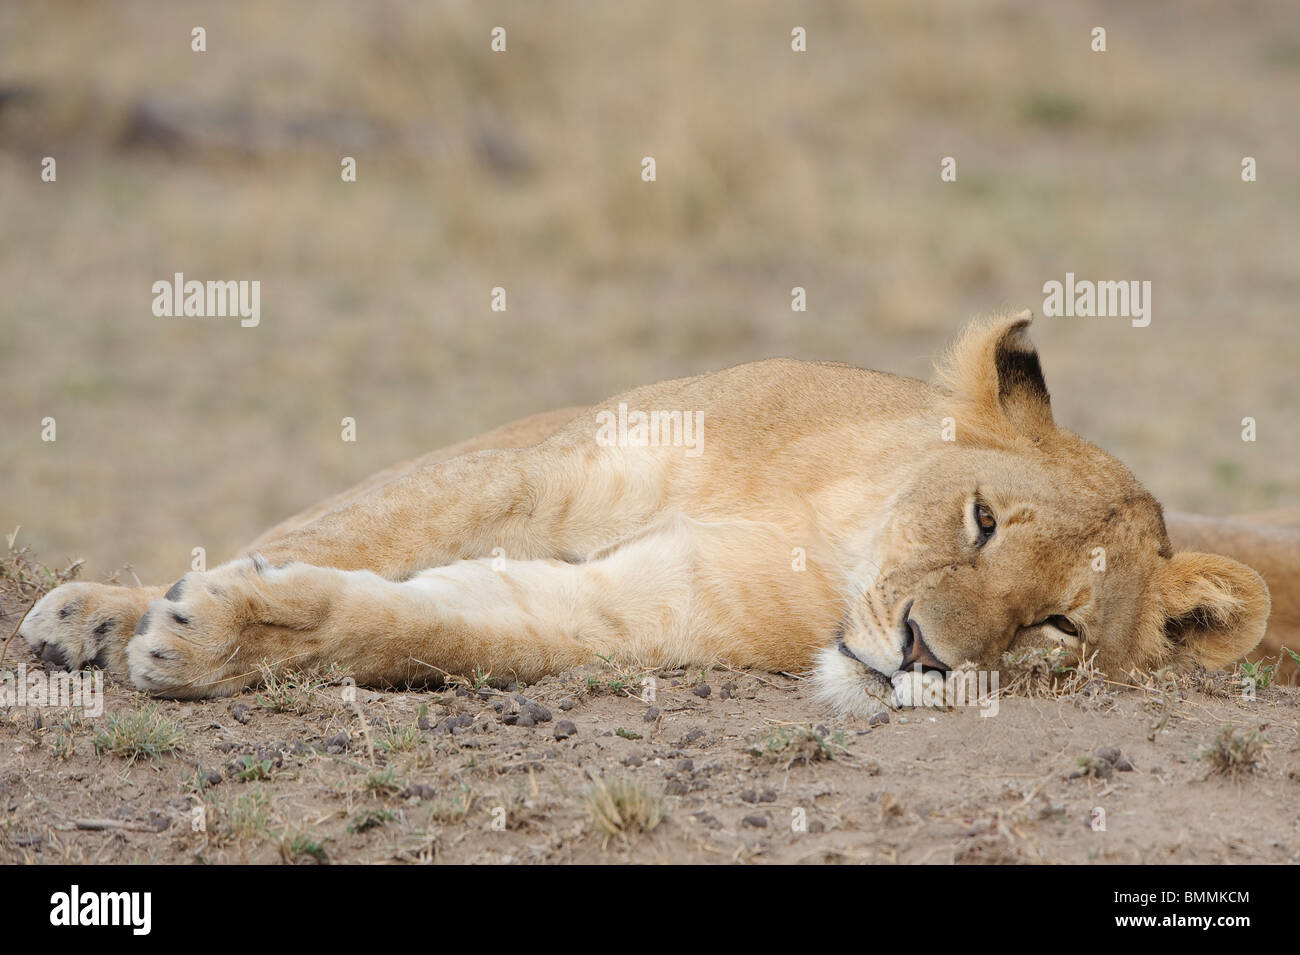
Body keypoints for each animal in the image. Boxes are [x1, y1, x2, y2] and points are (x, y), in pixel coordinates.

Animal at [17, 312, 1296, 714]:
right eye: (981, 520)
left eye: (1057, 630)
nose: (925, 655)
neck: (829, 529)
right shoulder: (547, 462)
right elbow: (340, 531)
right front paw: (103, 609)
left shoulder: (644, 609)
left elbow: (432, 622)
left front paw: (217, 636)